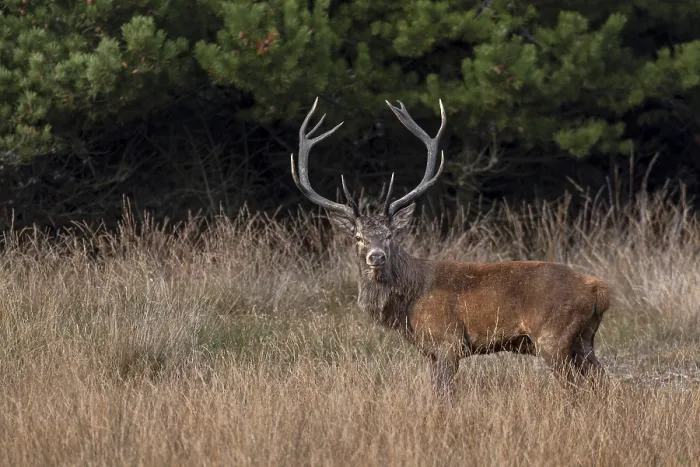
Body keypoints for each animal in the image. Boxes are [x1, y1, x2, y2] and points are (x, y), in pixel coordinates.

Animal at [290, 98, 611, 397]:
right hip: (584, 339)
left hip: (553, 336)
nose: (376, 256)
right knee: (604, 380)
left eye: (391, 235)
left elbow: (445, 395)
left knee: (575, 387)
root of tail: (598, 288)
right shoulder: (431, 352)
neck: (410, 301)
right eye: (358, 236)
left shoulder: (448, 341)